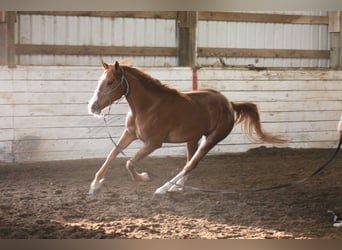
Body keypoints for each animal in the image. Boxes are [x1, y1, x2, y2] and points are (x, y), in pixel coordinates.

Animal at [87, 61, 286, 195]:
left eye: (110, 82)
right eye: (100, 81)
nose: (93, 107)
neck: (148, 107)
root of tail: (229, 104)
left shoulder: (153, 143)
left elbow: (130, 162)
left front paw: (143, 177)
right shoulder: (129, 134)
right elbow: (112, 154)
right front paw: (95, 184)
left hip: (212, 139)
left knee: (192, 164)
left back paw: (164, 188)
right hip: (193, 139)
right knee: (189, 162)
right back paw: (177, 187)